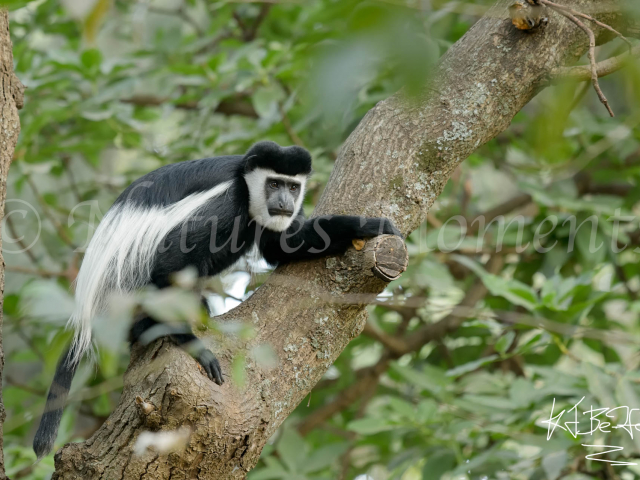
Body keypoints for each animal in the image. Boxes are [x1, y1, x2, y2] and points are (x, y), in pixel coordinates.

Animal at [33, 141, 401, 458]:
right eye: (273, 184)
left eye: (293, 186)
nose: (285, 202)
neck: (246, 186)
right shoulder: (225, 202)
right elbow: (171, 260)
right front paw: (190, 344)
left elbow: (283, 246)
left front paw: (365, 226)